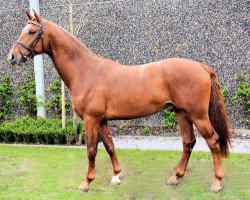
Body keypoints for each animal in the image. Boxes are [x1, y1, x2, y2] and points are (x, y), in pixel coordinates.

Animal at [7, 10, 230, 192]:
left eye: (31, 32)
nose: (12, 57)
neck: (86, 71)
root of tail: (201, 66)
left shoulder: (91, 119)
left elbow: (91, 150)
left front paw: (86, 182)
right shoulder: (102, 120)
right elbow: (110, 146)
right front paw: (116, 176)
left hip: (198, 115)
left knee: (213, 141)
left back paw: (217, 182)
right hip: (182, 113)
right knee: (188, 142)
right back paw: (176, 177)